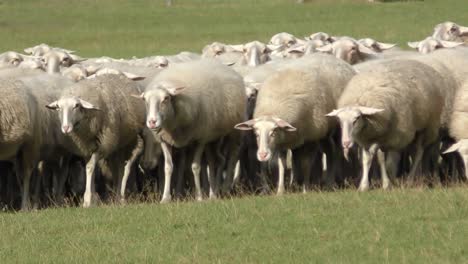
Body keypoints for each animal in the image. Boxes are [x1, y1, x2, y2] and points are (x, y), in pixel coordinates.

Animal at [46, 74, 145, 206]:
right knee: (116, 166)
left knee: (122, 167)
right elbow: (90, 167)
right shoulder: (86, 147)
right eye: (58, 107)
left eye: (76, 106)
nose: (65, 128)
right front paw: (93, 197)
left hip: (126, 141)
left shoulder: (101, 146)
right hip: (116, 145)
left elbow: (90, 167)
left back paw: (119, 196)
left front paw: (88, 199)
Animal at [141, 58, 245, 201]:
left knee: (233, 157)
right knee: (214, 161)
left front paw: (199, 196)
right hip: (212, 137)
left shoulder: (200, 139)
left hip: (234, 131)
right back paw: (213, 194)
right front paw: (165, 198)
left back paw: (225, 188)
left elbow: (195, 167)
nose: (152, 122)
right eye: (145, 100)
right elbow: (168, 167)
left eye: (166, 99)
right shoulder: (165, 140)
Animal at [236, 53, 356, 194]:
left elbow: (306, 163)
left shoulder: (310, 138)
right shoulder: (285, 140)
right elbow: (282, 164)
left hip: (335, 127)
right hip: (322, 132)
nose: (262, 155)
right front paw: (281, 190)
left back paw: (332, 182)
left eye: (273, 132)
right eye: (256, 133)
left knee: (335, 152)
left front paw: (305, 188)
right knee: (328, 151)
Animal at [328, 59, 444, 192]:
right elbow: (369, 159)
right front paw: (365, 186)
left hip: (427, 128)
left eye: (356, 119)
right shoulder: (367, 139)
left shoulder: (388, 138)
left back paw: (409, 180)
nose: (346, 143)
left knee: (418, 153)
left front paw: (387, 184)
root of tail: (423, 65)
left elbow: (383, 161)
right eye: (339, 120)